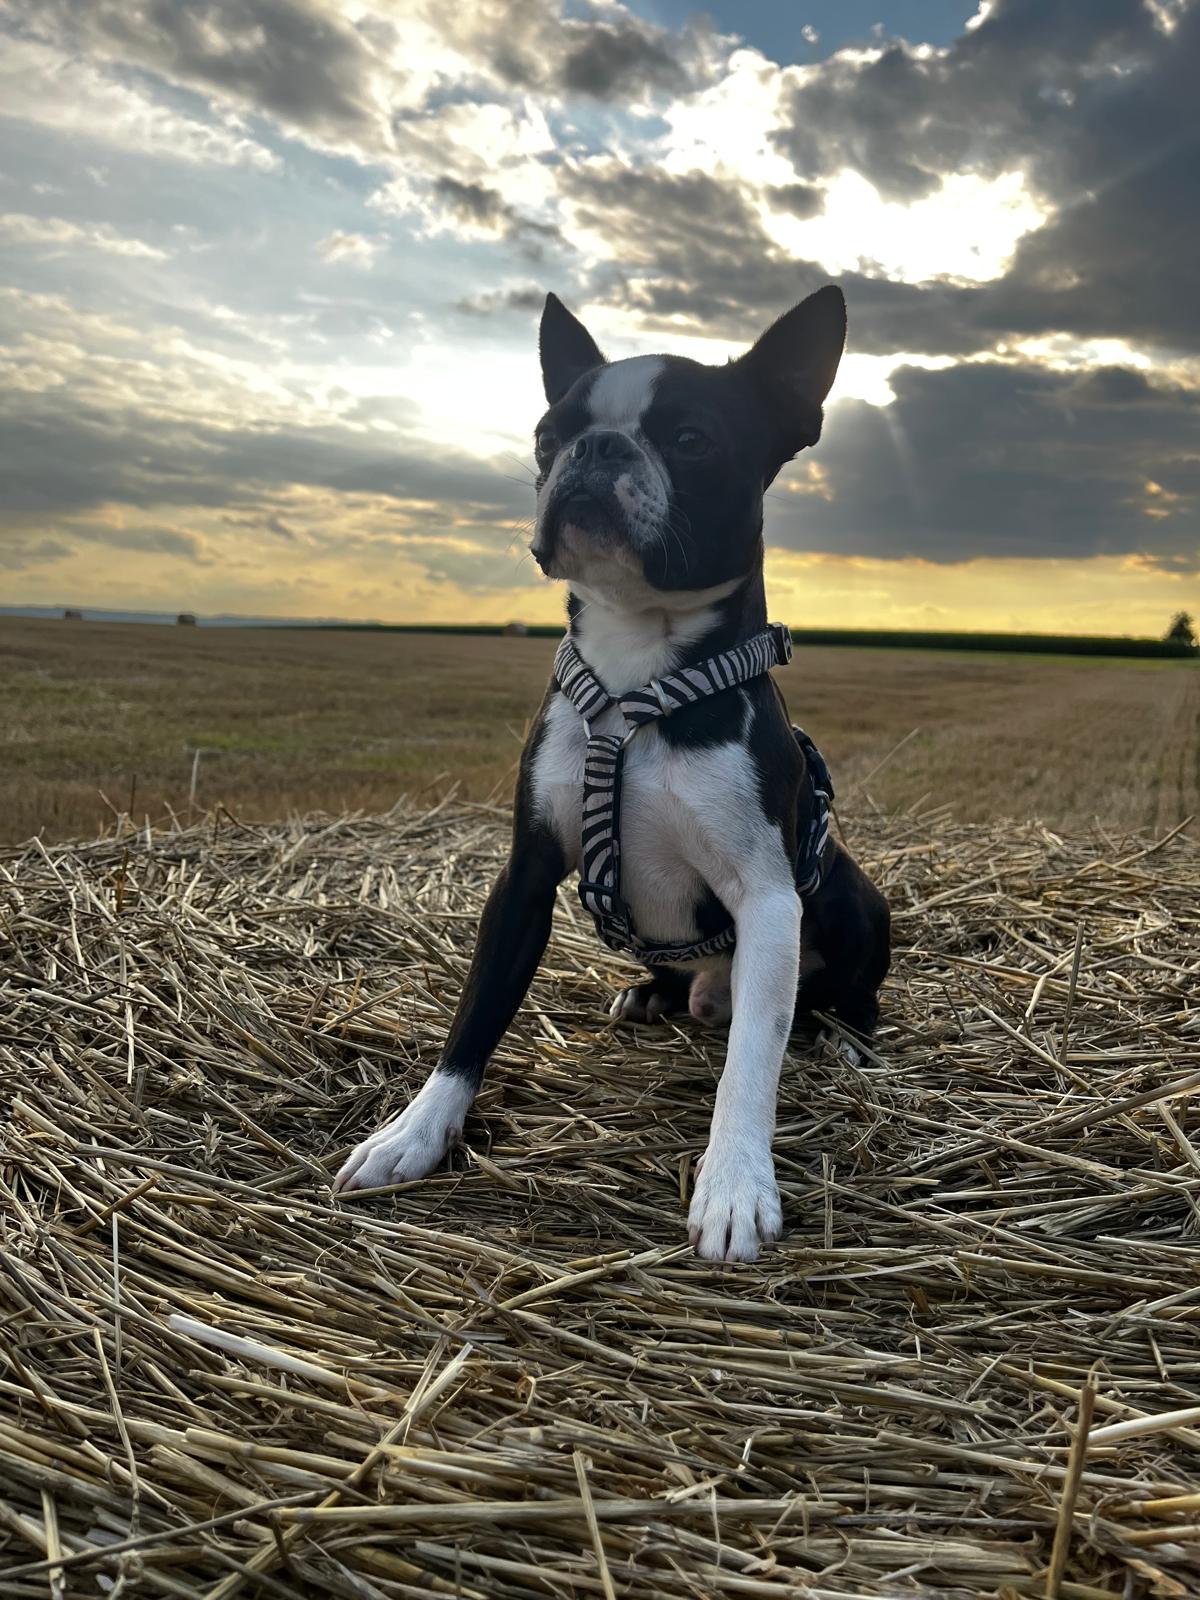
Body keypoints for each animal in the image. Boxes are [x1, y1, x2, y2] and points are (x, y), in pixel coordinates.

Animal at [335, 285, 890, 1261]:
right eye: (547, 436)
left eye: (693, 438)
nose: (595, 449)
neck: (639, 669)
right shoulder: (522, 875)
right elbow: (475, 1014)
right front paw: (415, 1132)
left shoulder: (769, 899)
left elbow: (754, 1057)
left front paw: (736, 1184)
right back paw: (651, 994)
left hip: (856, 901)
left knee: (843, 997)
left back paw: (846, 1038)